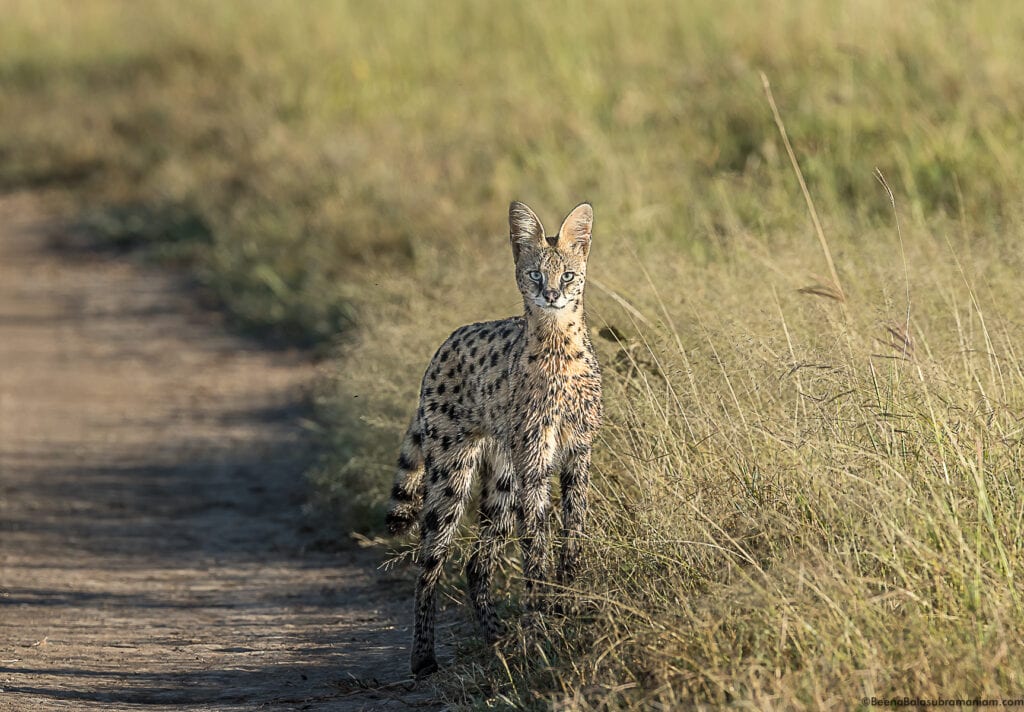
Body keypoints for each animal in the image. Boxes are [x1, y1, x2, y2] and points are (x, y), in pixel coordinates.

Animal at [387, 201, 602, 680]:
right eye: (535, 274)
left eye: (568, 276)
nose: (552, 296)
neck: (557, 339)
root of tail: (445, 343)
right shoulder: (536, 462)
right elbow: (536, 543)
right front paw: (542, 620)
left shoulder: (577, 453)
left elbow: (573, 534)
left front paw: (571, 603)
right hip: (453, 472)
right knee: (429, 563)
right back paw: (423, 657)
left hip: (503, 479)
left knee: (475, 561)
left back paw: (495, 637)